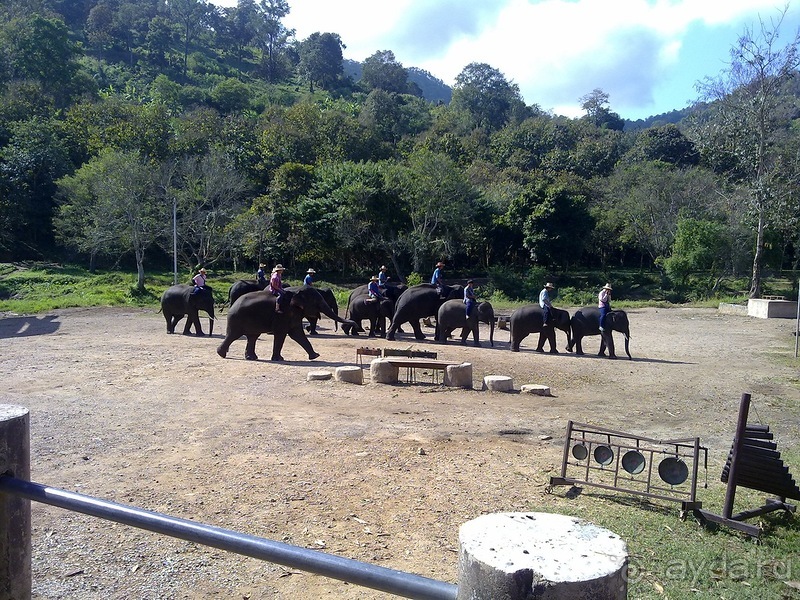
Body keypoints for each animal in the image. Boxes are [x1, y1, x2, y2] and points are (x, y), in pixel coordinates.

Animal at [216, 286, 354, 360]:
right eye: (317, 301)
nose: (353, 322)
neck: (297, 290)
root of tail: (233, 304)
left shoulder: (294, 314)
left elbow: (297, 334)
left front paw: (316, 356)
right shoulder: (283, 314)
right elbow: (282, 334)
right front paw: (279, 359)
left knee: (252, 337)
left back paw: (251, 357)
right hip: (237, 319)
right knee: (234, 335)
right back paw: (221, 354)